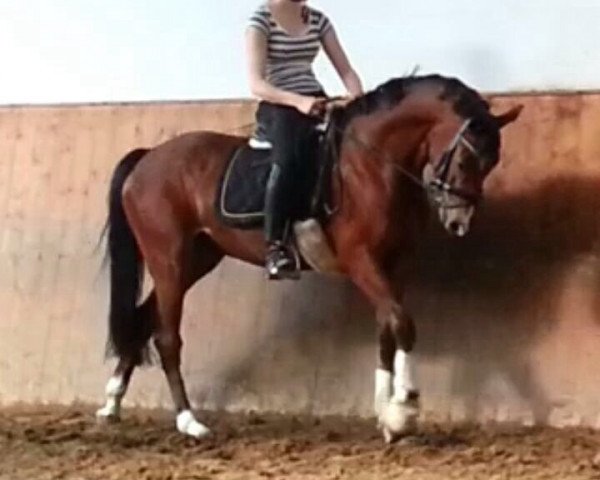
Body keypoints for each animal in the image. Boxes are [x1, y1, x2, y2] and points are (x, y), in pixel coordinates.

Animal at [95, 73, 520, 444]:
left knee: (143, 319)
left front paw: (386, 417)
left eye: (491, 163)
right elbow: (402, 323)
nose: (458, 222)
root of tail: (148, 159)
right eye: (465, 160)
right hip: (168, 258)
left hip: (196, 259)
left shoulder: (395, 266)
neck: (373, 165)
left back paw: (112, 402)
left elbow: (388, 327)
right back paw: (189, 422)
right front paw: (404, 409)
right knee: (167, 336)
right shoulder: (361, 261)